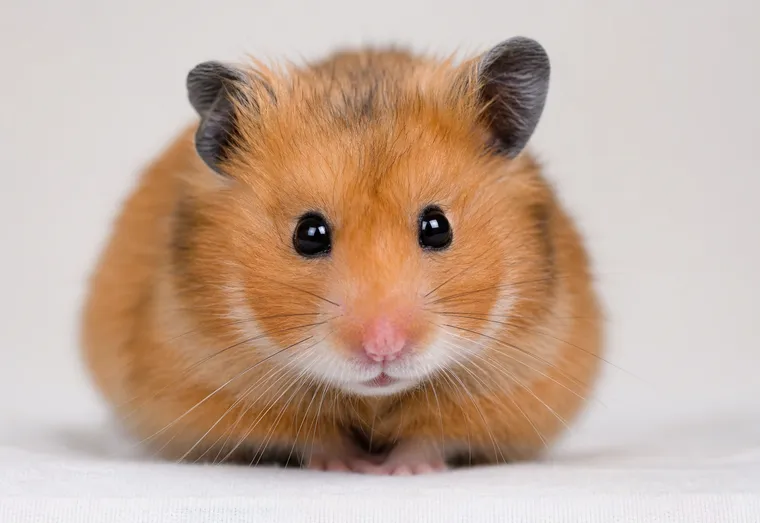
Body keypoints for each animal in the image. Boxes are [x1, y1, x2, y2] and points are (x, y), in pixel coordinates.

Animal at [81, 36, 603, 474]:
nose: (383, 349)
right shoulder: (214, 379)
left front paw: (400, 471)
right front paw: (348, 467)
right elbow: (312, 436)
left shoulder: (516, 380)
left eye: (438, 227)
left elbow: (432, 436)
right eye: (308, 234)